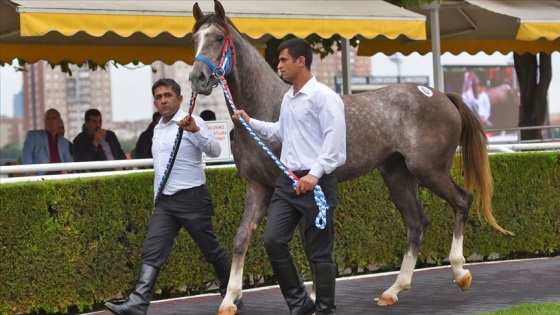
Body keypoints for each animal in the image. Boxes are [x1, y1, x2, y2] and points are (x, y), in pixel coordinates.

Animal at [189, 1, 512, 314]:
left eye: (218, 38)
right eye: (195, 38)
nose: (197, 78)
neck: (268, 106)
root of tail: (442, 96)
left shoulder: (298, 188)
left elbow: (309, 244)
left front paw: (315, 298)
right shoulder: (258, 187)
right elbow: (241, 238)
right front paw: (230, 299)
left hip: (430, 170)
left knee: (462, 201)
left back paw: (460, 272)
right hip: (397, 175)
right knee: (416, 223)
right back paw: (393, 290)